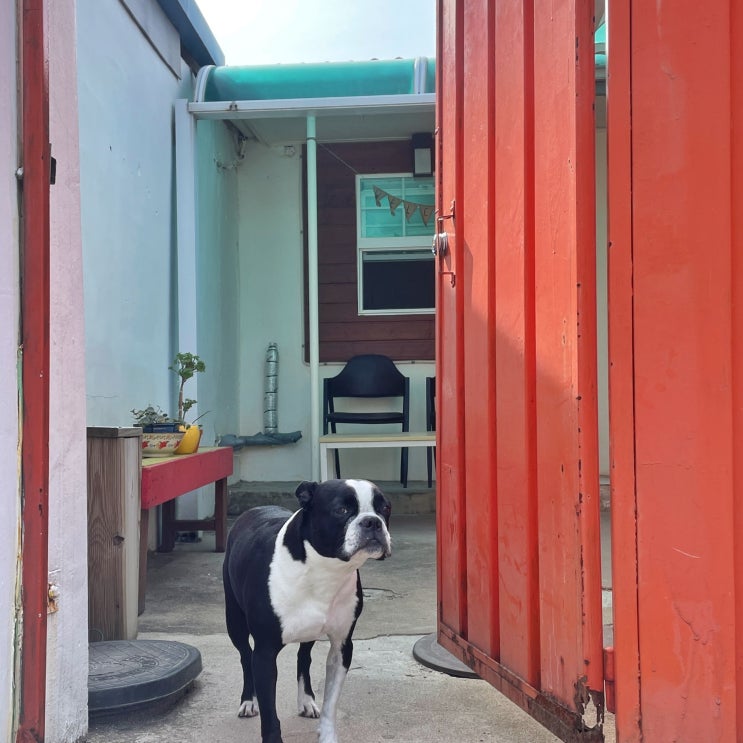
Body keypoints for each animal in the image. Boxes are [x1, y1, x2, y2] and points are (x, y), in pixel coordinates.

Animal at [223, 478, 392, 743]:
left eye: (385, 509)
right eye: (341, 510)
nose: (372, 521)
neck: (324, 570)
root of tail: (253, 510)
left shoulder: (342, 647)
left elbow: (331, 704)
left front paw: (328, 736)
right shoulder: (264, 653)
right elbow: (270, 715)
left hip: (310, 631)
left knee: (304, 656)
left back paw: (306, 700)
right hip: (235, 622)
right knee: (244, 655)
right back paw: (248, 701)